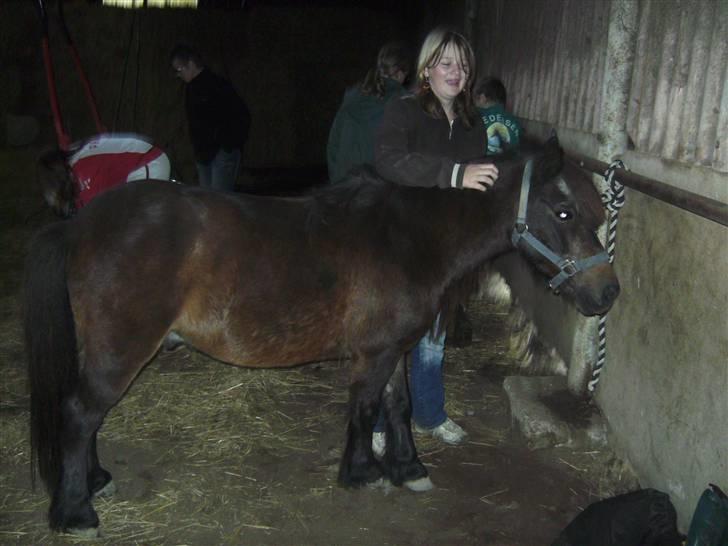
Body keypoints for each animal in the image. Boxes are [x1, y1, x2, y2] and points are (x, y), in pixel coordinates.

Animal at [22, 135, 616, 532]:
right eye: (564, 211)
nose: (607, 293)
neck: (412, 240)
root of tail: (80, 223)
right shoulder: (373, 354)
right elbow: (365, 408)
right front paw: (362, 471)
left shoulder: (391, 348)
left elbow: (396, 407)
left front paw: (407, 467)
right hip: (120, 351)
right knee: (80, 414)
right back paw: (75, 511)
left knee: (86, 417)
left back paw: (95, 480)